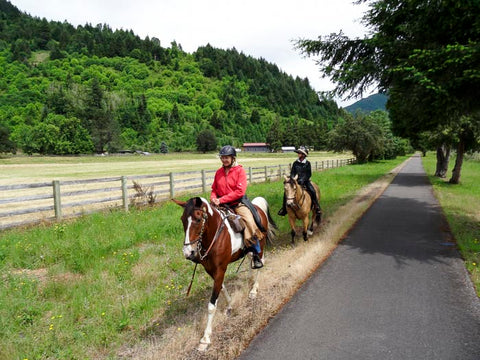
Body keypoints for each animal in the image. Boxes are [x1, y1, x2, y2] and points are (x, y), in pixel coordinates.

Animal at [174, 195, 276, 350]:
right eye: (182, 219)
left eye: (198, 219)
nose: (188, 252)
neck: (215, 235)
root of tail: (257, 206)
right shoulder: (211, 270)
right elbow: (221, 288)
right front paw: (230, 305)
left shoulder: (220, 269)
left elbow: (211, 305)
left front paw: (205, 338)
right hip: (248, 248)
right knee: (250, 261)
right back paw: (250, 281)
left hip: (261, 244)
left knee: (260, 262)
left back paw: (254, 289)